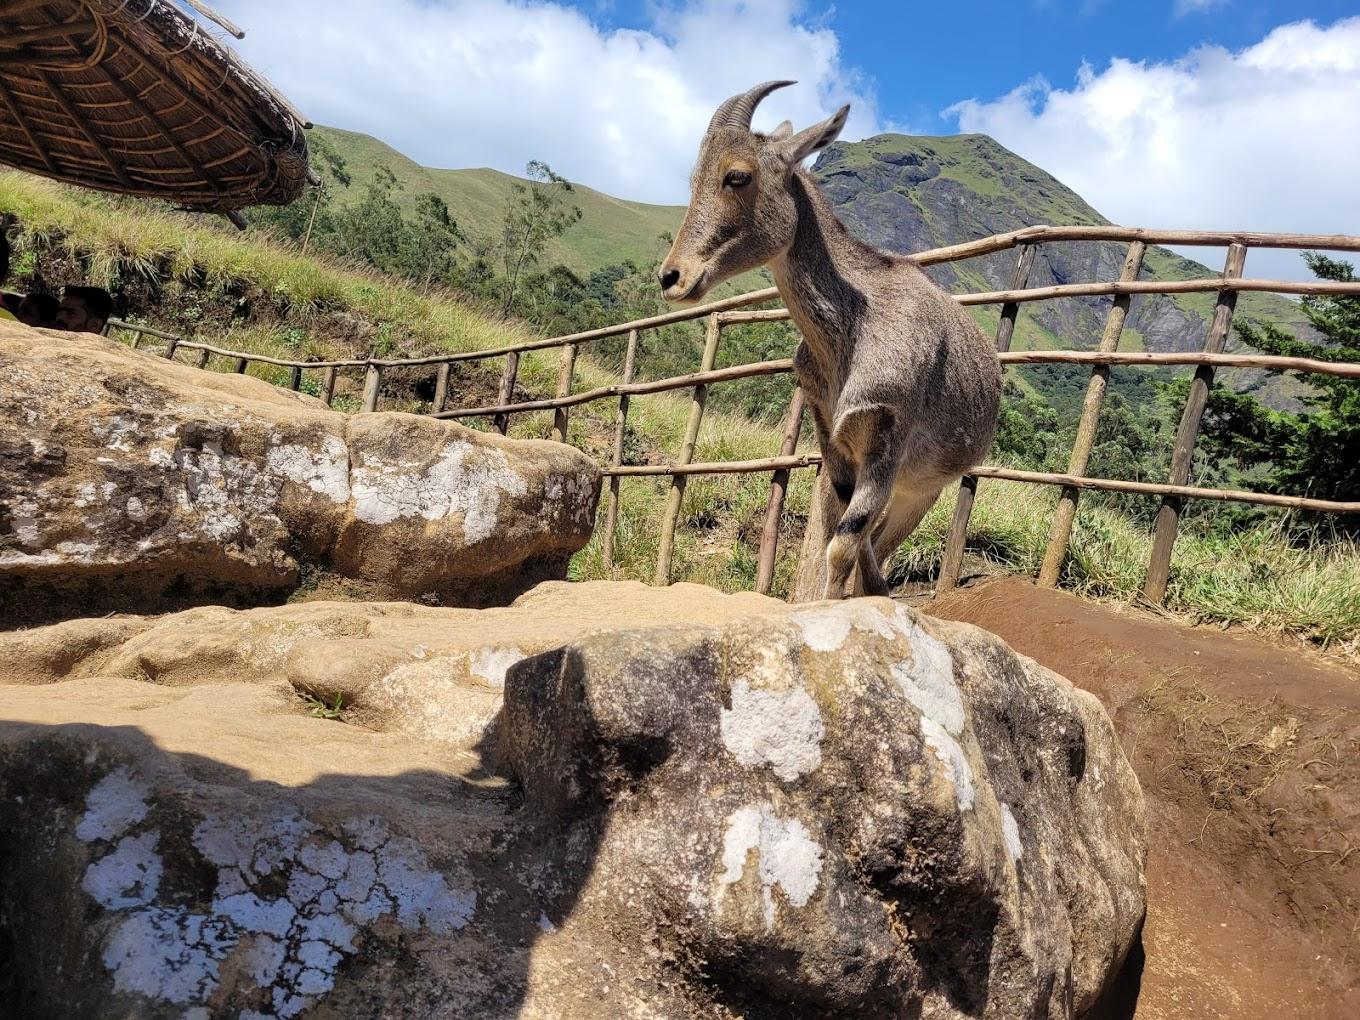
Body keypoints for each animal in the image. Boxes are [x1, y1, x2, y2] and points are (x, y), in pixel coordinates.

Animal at [659, 81, 1002, 600]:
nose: (671, 277)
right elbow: (845, 534)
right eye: (693, 178)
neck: (854, 333)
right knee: (874, 544)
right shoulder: (831, 435)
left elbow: (842, 545)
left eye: (737, 176)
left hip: (927, 485)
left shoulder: (887, 436)